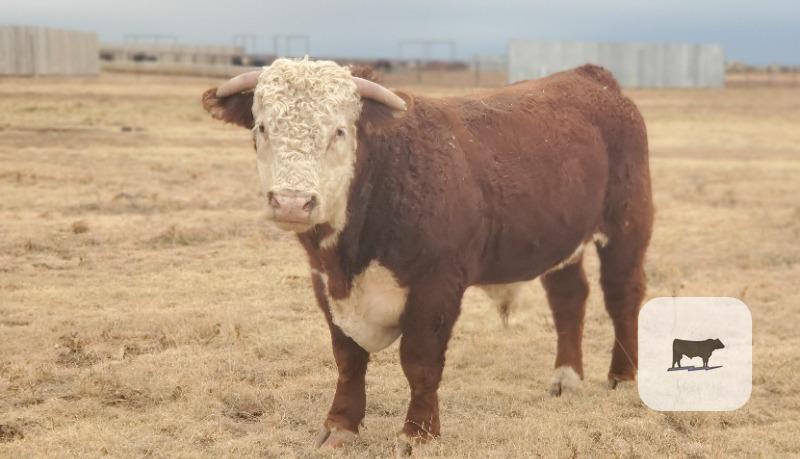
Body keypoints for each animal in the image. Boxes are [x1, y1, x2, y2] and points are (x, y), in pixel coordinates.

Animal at [200, 58, 653, 449]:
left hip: (627, 227)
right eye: (262, 128)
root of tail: (590, 76)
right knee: (569, 299)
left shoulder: (437, 285)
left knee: (622, 296)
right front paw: (340, 426)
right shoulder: (325, 284)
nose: (292, 202)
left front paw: (418, 434)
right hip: (561, 238)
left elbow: (420, 360)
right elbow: (348, 358)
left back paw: (623, 375)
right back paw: (566, 378)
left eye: (340, 131)